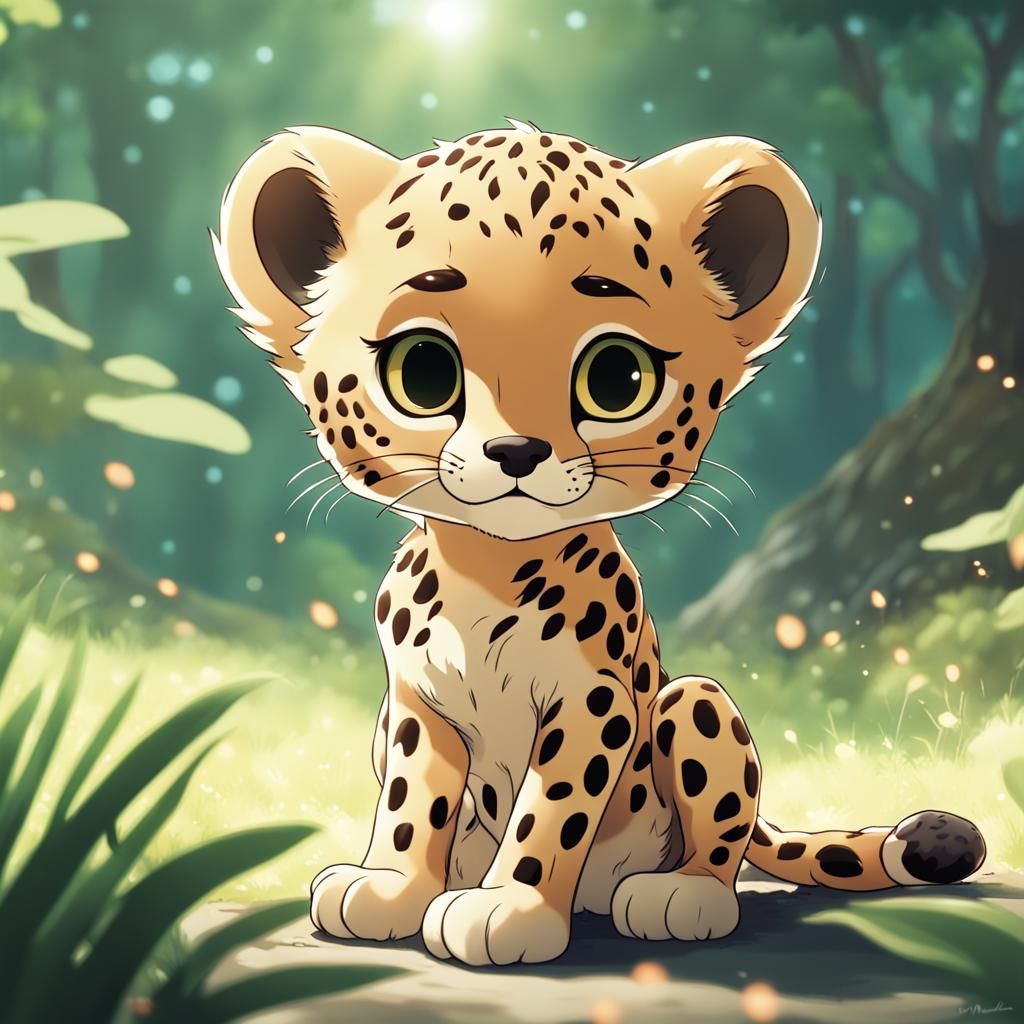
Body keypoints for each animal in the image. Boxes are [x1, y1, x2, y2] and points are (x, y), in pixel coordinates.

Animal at [214, 119, 986, 966]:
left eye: (617, 375)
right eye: (422, 371)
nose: (516, 451)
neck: (487, 567)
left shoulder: (592, 702)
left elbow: (549, 813)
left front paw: (508, 910)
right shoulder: (415, 704)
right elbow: (411, 804)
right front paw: (389, 888)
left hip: (695, 701)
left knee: (722, 833)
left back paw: (681, 894)